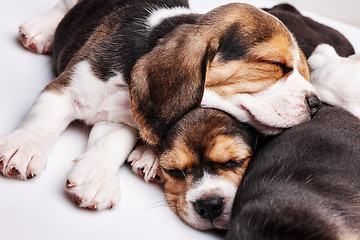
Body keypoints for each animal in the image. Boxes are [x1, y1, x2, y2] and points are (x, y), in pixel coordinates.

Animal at [0, 0, 318, 230]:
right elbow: (43, 120)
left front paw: (96, 178)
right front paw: (24, 148)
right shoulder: (66, 89)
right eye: (273, 64)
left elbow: (110, 145)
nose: (316, 103)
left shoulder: (121, 120)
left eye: (304, 71)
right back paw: (41, 29)